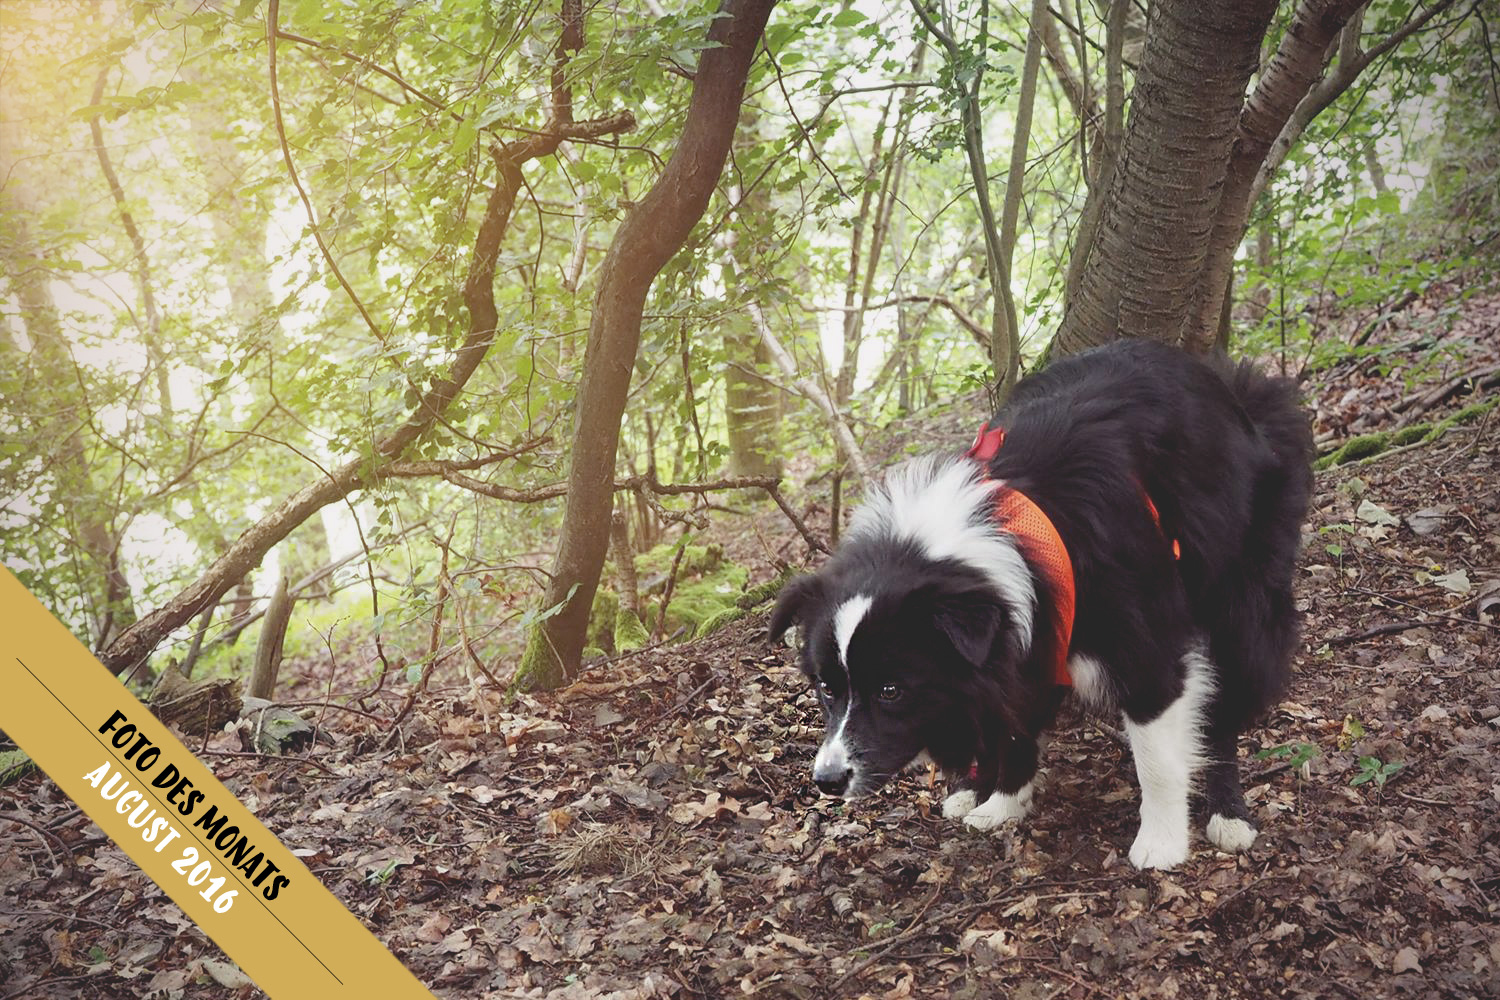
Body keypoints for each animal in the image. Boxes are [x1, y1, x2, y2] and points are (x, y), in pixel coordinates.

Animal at [774, 340, 1314, 869]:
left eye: (891, 690)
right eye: (826, 687)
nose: (827, 781)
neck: (1013, 534)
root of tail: (1238, 391)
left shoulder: (1144, 650)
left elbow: (1157, 757)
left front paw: (1161, 841)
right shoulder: (1029, 631)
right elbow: (1013, 721)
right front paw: (1002, 802)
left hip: (1240, 592)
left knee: (1227, 700)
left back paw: (1229, 813)